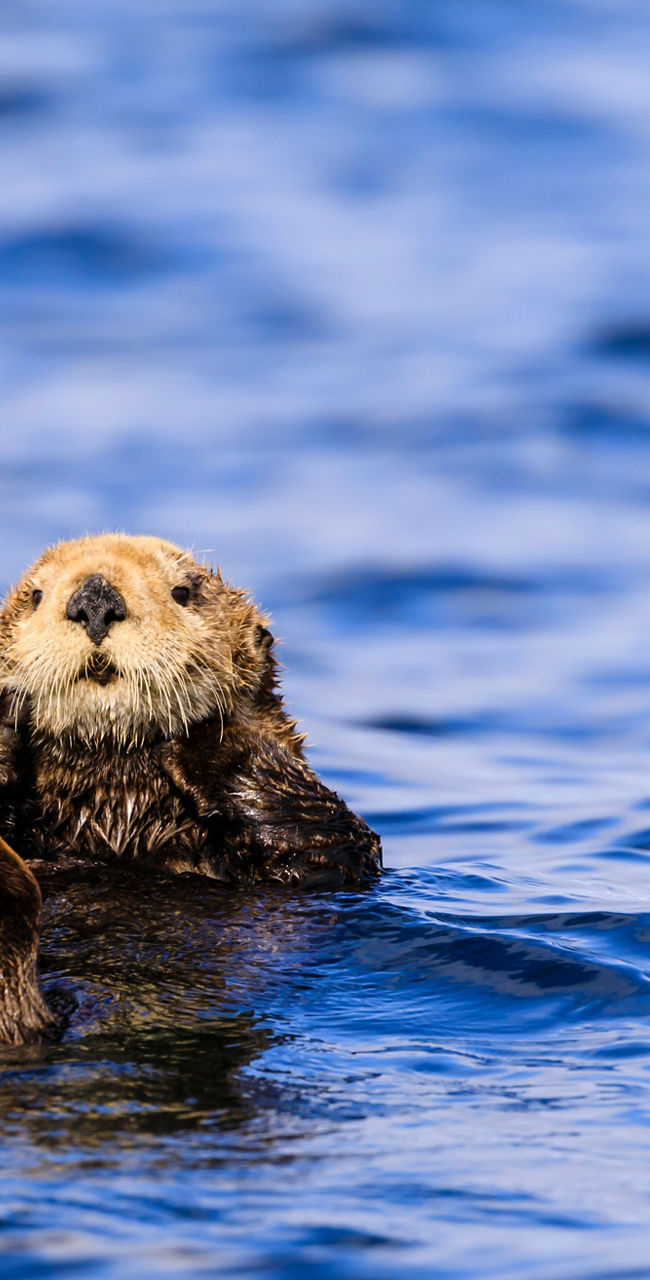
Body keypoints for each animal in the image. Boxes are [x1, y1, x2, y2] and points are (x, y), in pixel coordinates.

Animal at [0, 534, 381, 1043]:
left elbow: (333, 850)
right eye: (35, 596)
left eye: (183, 592)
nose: (94, 600)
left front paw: (209, 730)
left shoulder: (325, 867)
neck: (117, 811)